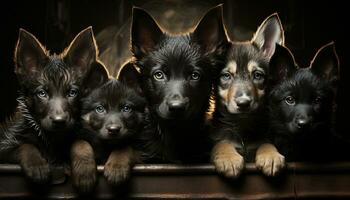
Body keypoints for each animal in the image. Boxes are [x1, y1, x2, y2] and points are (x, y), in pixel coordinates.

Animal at [0, 27, 99, 183]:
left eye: (72, 92)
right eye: (42, 93)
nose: (59, 121)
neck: (53, 139)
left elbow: (81, 142)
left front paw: (84, 169)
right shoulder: (4, 146)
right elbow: (25, 145)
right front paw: (36, 164)